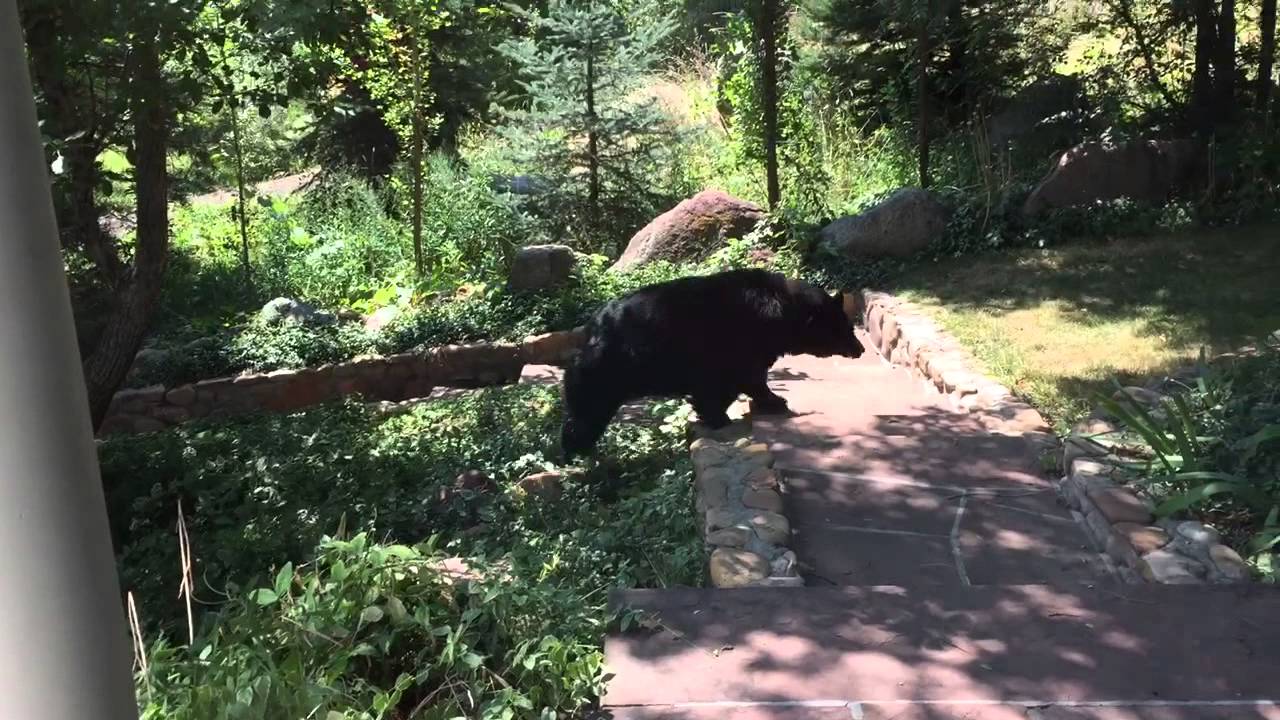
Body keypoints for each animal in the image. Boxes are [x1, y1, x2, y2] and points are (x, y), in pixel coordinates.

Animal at [560, 268, 864, 458]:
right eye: (844, 329)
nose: (860, 349)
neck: (782, 311)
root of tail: (591, 328)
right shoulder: (737, 345)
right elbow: (747, 379)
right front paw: (772, 402)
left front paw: (713, 414)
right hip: (606, 370)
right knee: (586, 412)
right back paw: (573, 452)